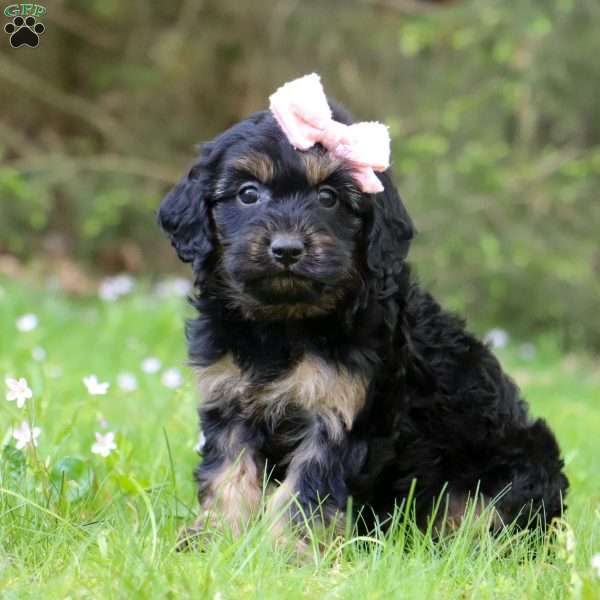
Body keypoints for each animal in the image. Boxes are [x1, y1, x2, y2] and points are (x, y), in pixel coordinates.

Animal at [158, 92, 568, 544]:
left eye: (328, 198)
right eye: (248, 194)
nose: (287, 249)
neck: (283, 322)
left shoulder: (341, 413)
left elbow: (307, 491)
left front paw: (288, 549)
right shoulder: (228, 400)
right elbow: (228, 473)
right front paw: (218, 538)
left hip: (514, 471)